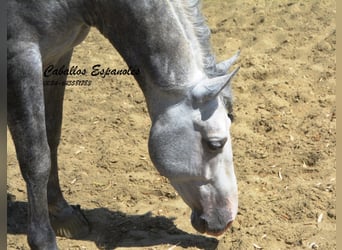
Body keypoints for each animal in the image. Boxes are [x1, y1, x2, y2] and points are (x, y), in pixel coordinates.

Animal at [6, 0, 239, 249]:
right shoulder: (21, 57)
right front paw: (44, 240)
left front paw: (63, 214)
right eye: (215, 143)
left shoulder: (58, 55)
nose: (226, 219)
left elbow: (51, 135)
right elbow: (36, 159)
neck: (77, 5)